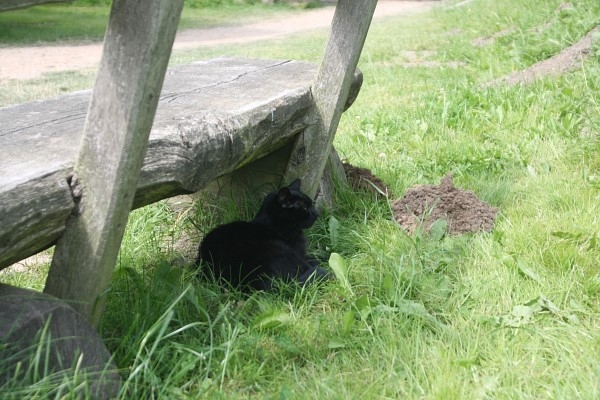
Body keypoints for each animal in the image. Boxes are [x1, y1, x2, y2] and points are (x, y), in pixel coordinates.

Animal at [196, 178, 330, 292]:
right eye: (304, 208)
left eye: (311, 205)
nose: (317, 213)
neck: (275, 227)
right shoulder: (298, 253)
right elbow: (312, 260)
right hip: (277, 248)